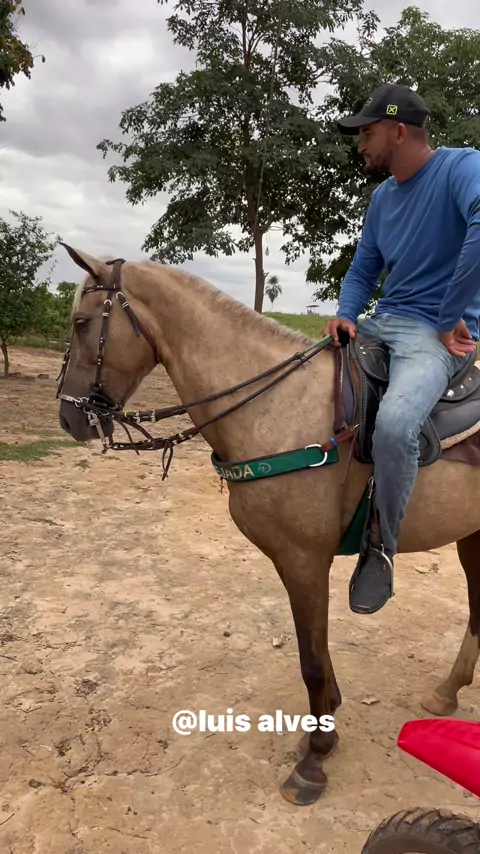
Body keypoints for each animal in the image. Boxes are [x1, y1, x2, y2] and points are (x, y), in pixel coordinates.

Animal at [56, 243, 480, 806]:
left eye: (82, 322)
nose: (69, 418)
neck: (276, 409)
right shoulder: (296, 564)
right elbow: (317, 654)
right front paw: (325, 728)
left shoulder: (304, 560)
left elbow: (312, 662)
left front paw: (315, 760)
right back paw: (447, 692)